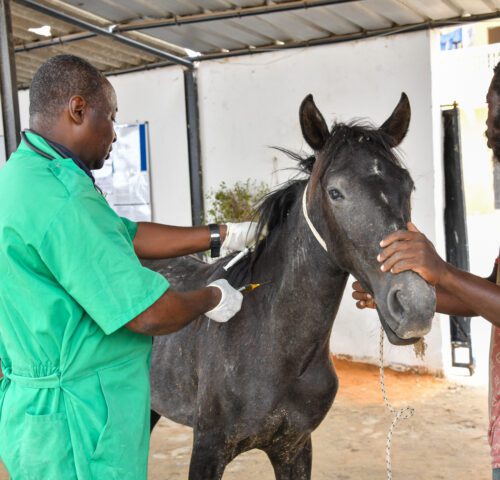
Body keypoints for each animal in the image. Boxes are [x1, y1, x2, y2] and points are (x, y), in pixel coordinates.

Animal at [145, 92, 436, 480]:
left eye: (408, 186)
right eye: (336, 192)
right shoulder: (208, 448)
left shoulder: (294, 448)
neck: (274, 346)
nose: (415, 304)